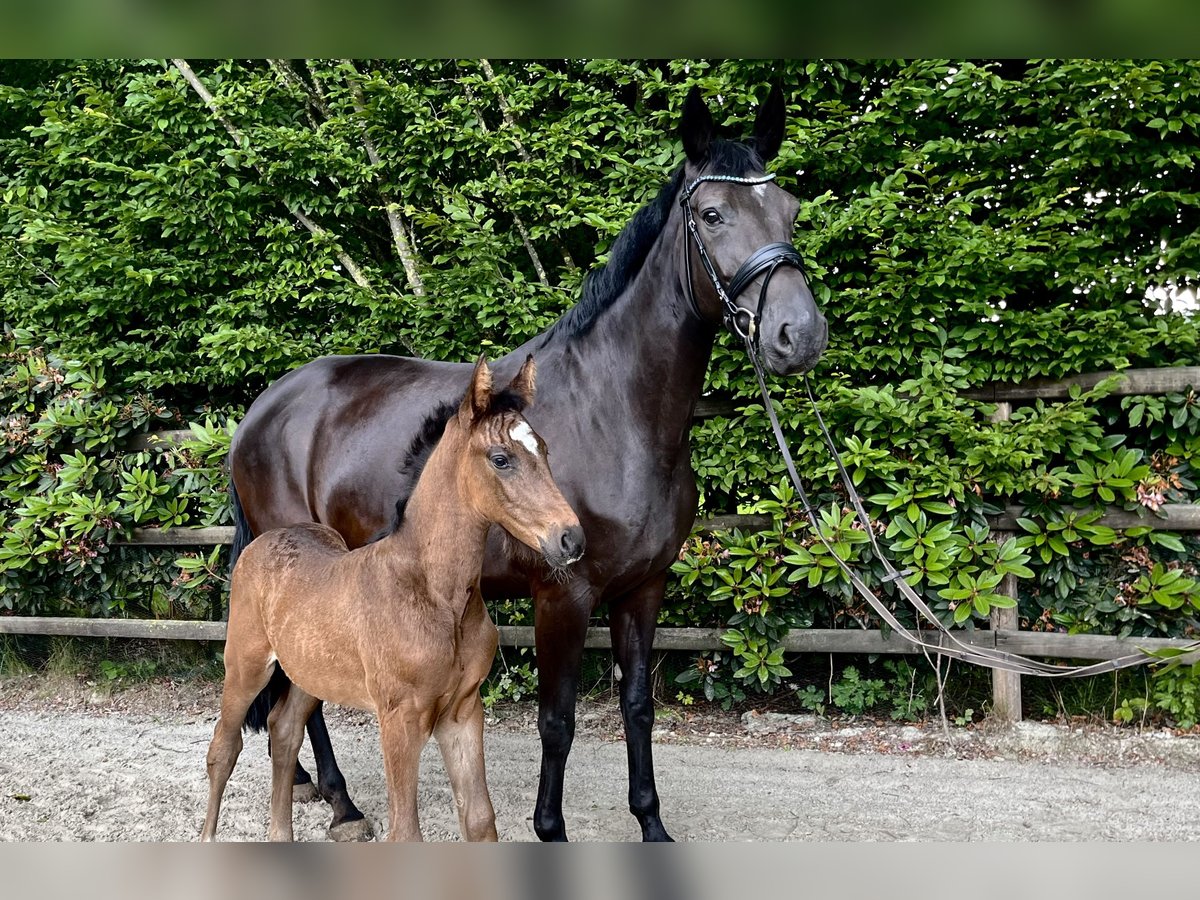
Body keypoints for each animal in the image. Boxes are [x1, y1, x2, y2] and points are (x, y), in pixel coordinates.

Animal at [201, 355, 585, 844]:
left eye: (545, 451)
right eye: (501, 459)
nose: (571, 538)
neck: (436, 595)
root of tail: (268, 538)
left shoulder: (463, 712)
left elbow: (480, 821)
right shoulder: (400, 719)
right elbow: (406, 832)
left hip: (309, 672)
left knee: (283, 731)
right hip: (245, 663)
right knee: (223, 747)